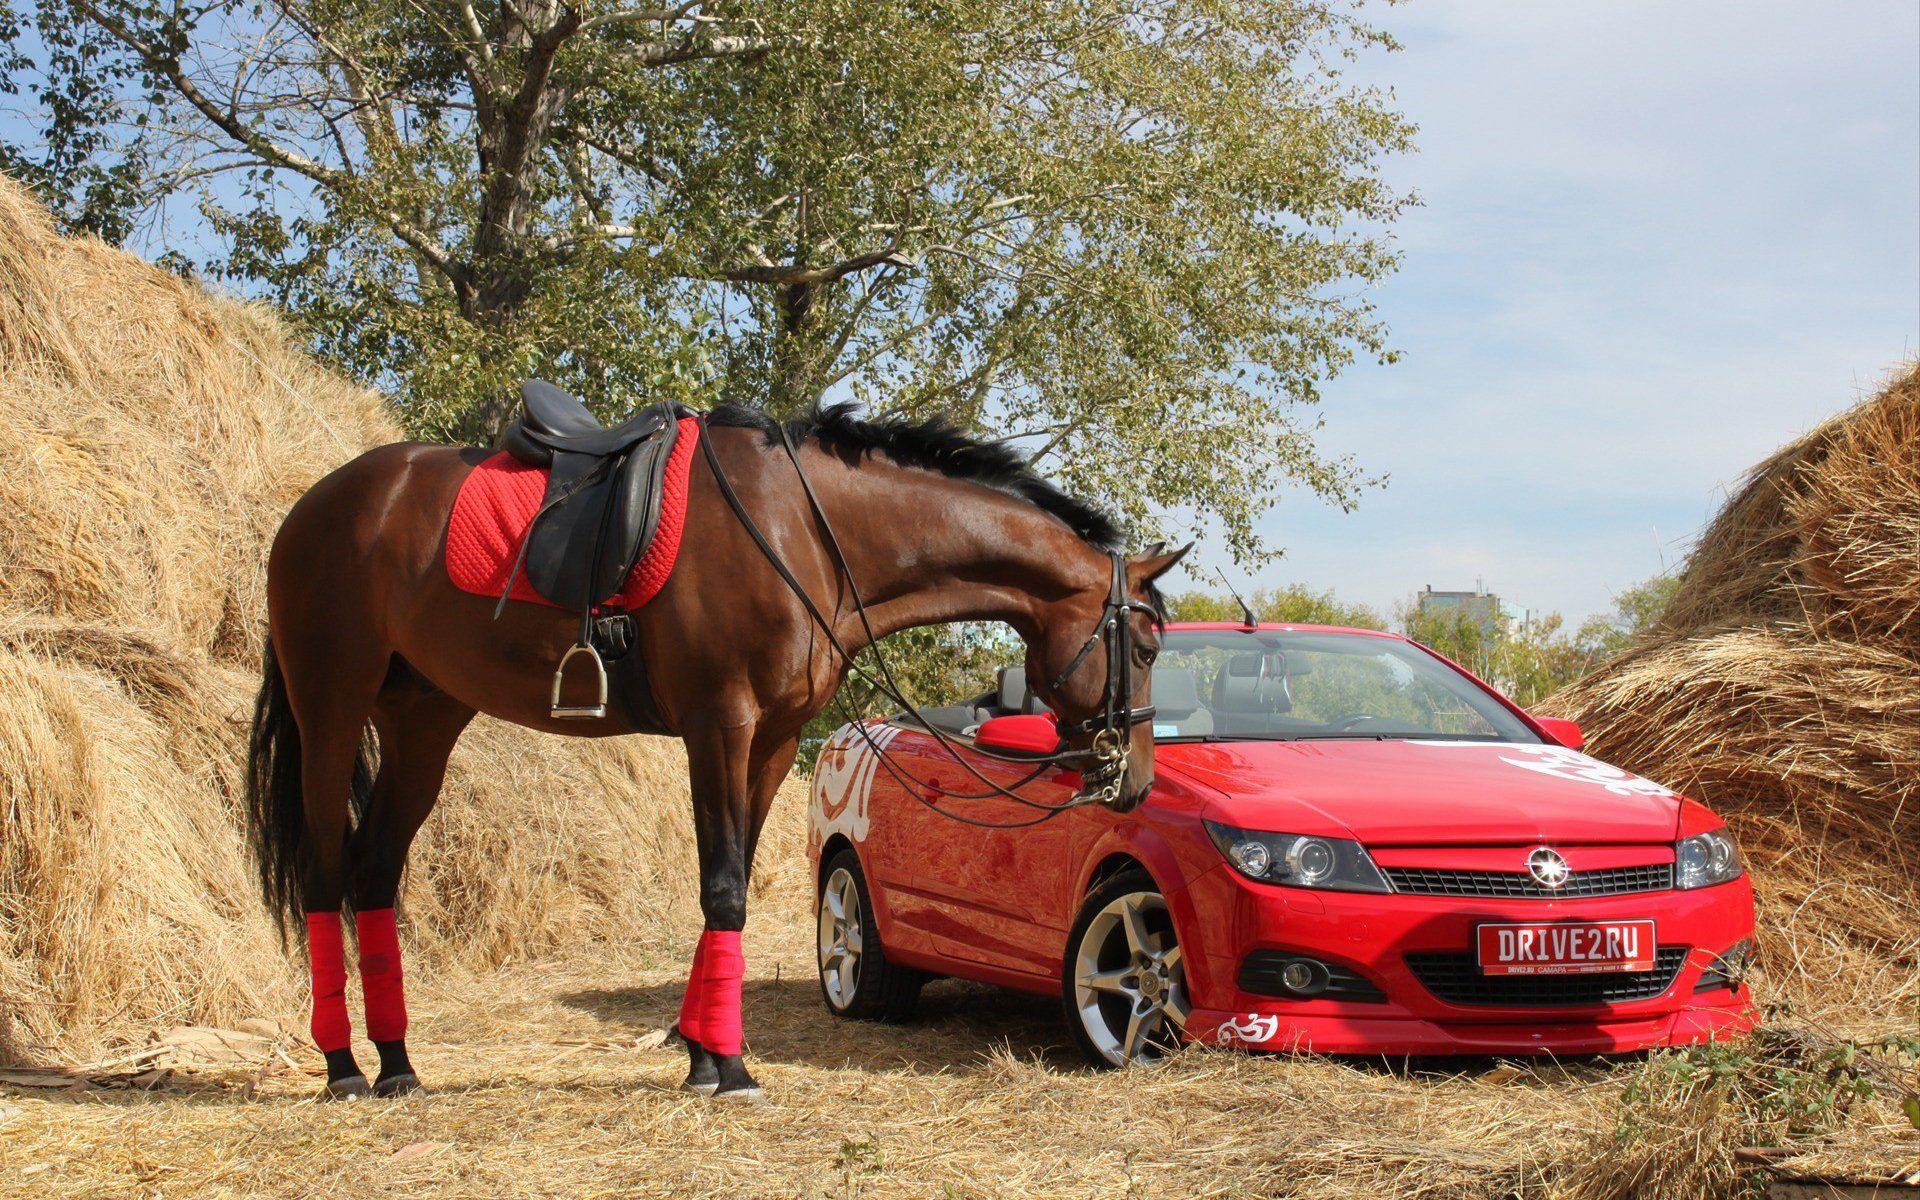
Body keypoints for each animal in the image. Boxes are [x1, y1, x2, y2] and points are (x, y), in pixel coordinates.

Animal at [245, 400, 1187, 1102]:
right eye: (1144, 646)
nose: (1135, 782)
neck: (807, 530)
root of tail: (313, 507)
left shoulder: (770, 741)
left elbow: (723, 890)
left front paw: (702, 1056)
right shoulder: (720, 726)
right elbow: (724, 885)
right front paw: (728, 1067)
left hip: (424, 720)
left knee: (374, 873)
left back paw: (399, 1065)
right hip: (332, 711)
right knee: (325, 873)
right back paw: (343, 1068)